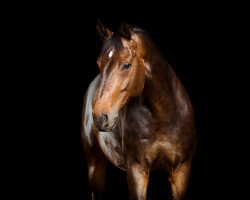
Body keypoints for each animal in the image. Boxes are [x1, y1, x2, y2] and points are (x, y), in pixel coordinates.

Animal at [81, 20, 196, 200]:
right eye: (99, 63)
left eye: (126, 65)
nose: (100, 117)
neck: (164, 117)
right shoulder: (137, 172)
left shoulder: (181, 172)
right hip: (95, 166)